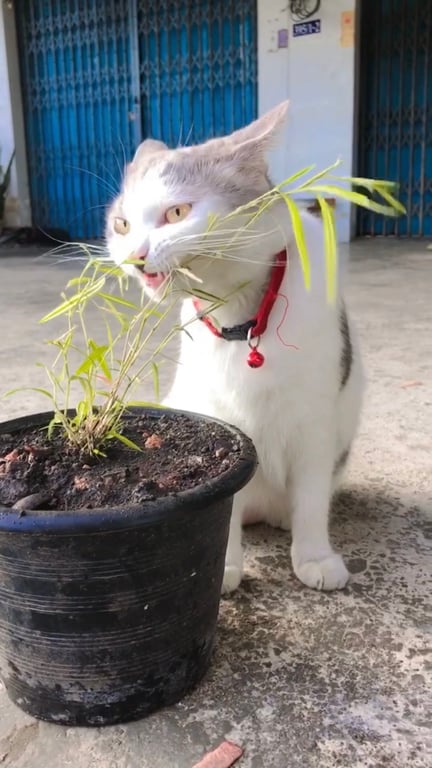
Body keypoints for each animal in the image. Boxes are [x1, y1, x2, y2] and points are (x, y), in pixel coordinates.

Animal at [106, 101, 364, 593]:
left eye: (177, 212)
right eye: (121, 224)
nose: (135, 257)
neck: (241, 317)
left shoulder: (314, 419)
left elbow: (312, 497)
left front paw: (315, 557)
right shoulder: (222, 417)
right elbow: (225, 508)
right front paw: (222, 567)